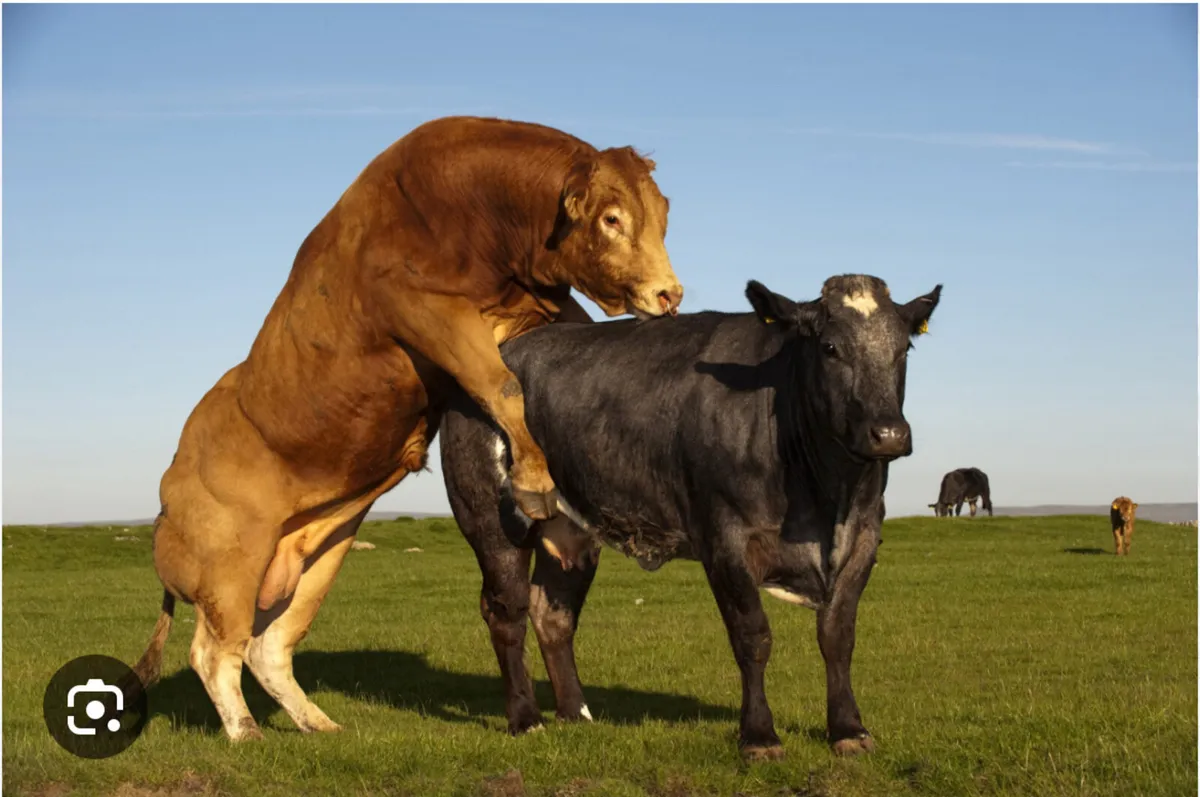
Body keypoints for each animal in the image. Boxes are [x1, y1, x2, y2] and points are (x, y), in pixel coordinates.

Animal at [129, 116, 684, 742]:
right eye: (611, 218)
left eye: (662, 214)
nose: (670, 293)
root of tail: (169, 488)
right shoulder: (428, 312)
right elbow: (501, 384)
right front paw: (534, 479)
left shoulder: (539, 309)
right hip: (230, 569)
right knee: (213, 652)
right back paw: (246, 731)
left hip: (316, 556)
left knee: (266, 648)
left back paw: (319, 725)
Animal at [439, 273, 942, 760]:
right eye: (831, 347)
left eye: (904, 348)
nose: (889, 434)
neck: (825, 499)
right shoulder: (724, 539)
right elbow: (752, 637)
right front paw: (759, 735)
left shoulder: (864, 536)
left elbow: (838, 635)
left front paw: (849, 729)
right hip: (491, 520)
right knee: (507, 611)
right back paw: (526, 719)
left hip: (570, 531)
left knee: (553, 614)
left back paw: (576, 714)